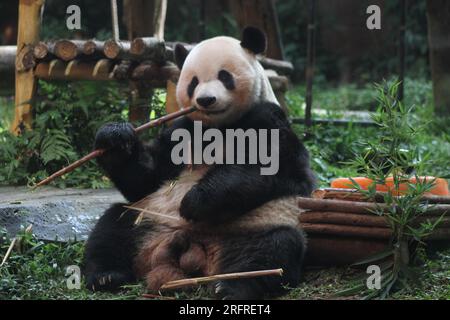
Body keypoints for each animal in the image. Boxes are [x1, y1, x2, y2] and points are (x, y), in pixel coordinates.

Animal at [85, 26, 316, 298]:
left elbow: (263, 167)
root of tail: (193, 246)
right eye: (193, 82)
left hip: (261, 223)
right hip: (149, 219)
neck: (219, 127)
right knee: (113, 228)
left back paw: (231, 287)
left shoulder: (269, 119)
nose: (205, 100)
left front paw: (194, 202)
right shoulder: (181, 131)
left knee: (272, 250)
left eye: (224, 76)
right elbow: (147, 178)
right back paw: (107, 276)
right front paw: (115, 137)